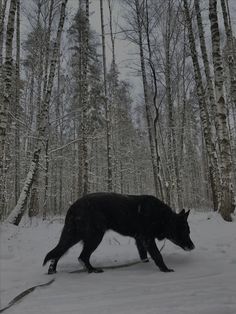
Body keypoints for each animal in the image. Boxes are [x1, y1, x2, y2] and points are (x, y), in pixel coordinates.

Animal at [43, 191, 195, 272]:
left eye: (189, 231)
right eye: (185, 231)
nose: (193, 246)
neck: (162, 217)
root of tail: (74, 206)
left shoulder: (140, 240)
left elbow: (144, 256)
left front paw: (145, 263)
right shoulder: (148, 239)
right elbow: (158, 255)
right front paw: (165, 269)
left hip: (73, 236)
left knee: (58, 252)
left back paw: (52, 270)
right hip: (94, 237)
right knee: (82, 256)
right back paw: (92, 270)